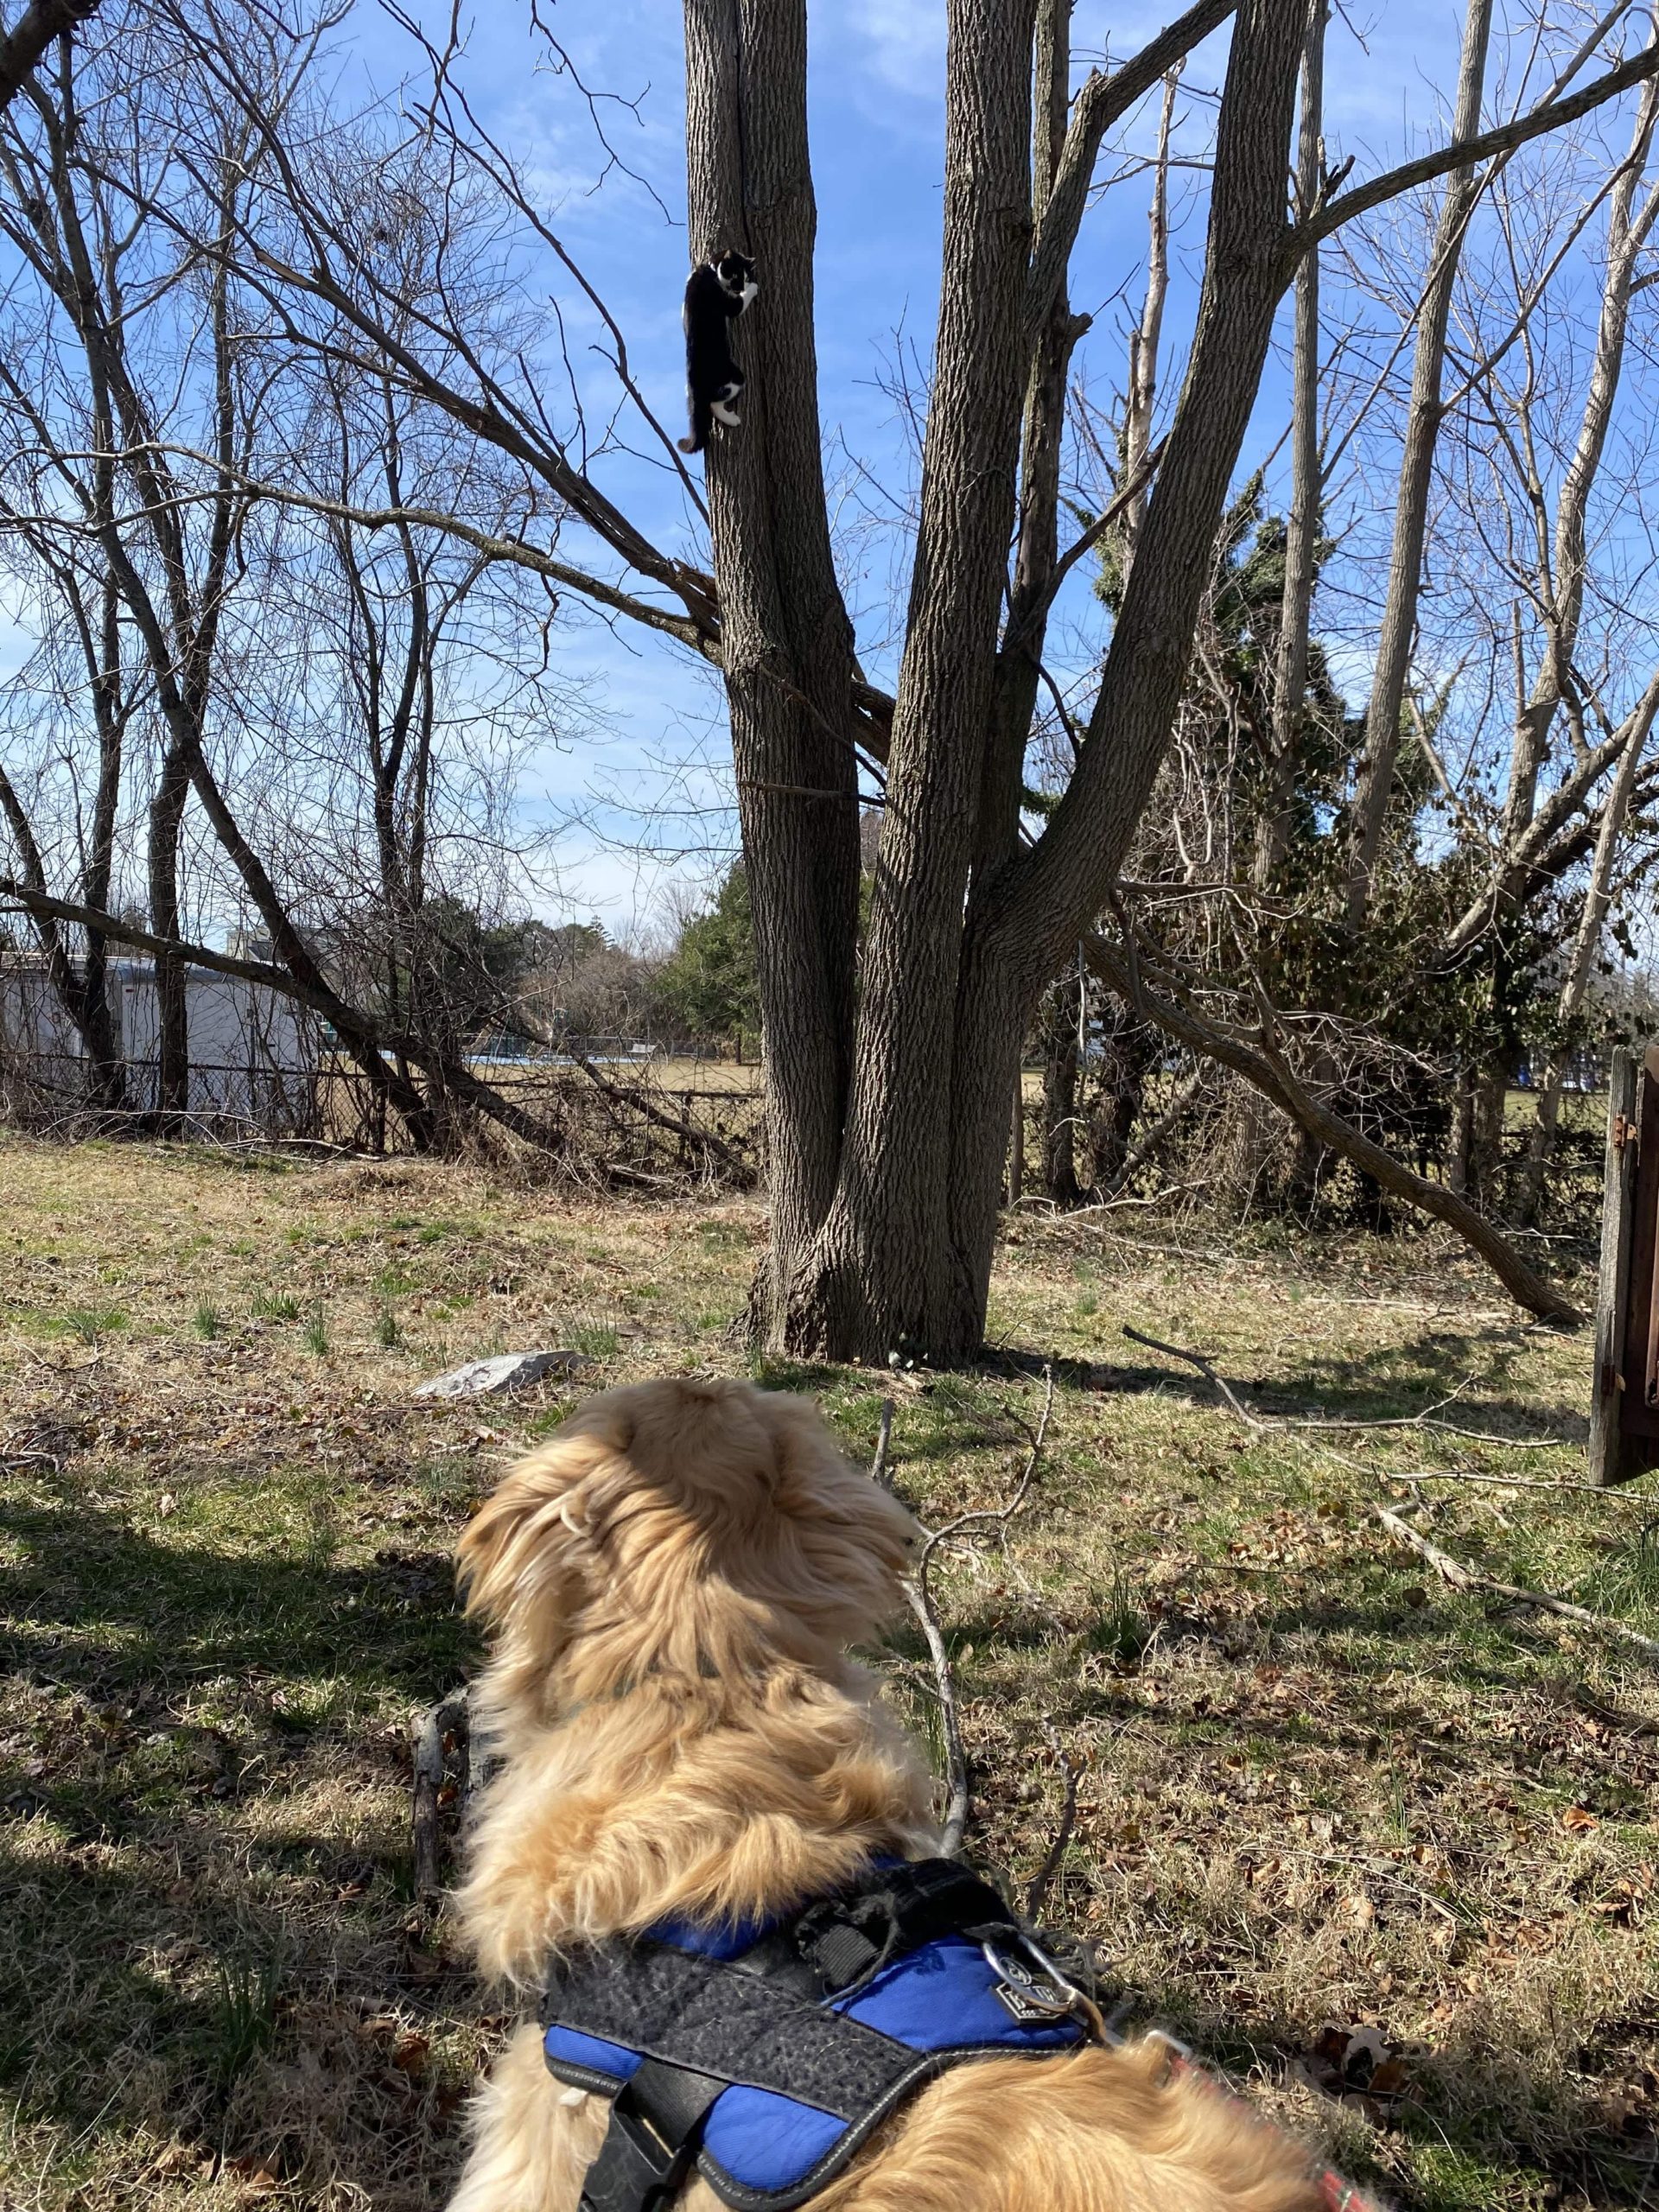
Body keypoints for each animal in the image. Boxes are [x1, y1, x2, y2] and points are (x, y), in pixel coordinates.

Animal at [677, 251, 760, 453]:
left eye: (745, 277)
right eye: (737, 277)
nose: (740, 287)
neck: (710, 271)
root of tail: (694, 383)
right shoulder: (726, 301)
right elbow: (739, 304)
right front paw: (753, 288)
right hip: (733, 376)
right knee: (714, 402)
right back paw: (732, 419)